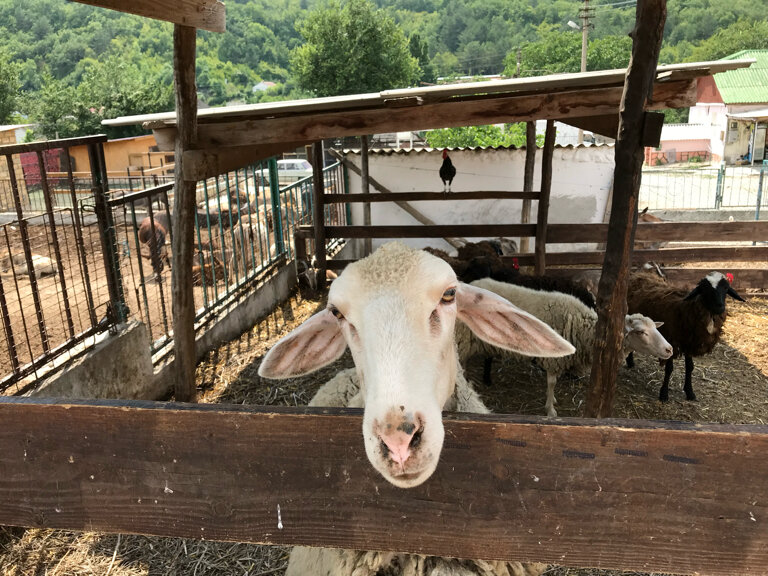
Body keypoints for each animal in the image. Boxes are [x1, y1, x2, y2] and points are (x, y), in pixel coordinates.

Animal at [456, 278, 672, 416]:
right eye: (641, 332)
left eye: (655, 327)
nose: (669, 349)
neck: (583, 328)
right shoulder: (554, 359)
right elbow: (552, 383)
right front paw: (550, 409)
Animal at [628, 270, 748, 400]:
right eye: (705, 289)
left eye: (726, 288)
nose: (719, 307)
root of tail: (638, 275)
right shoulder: (672, 341)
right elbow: (669, 368)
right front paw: (664, 393)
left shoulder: (689, 342)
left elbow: (690, 367)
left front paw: (690, 392)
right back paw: (629, 362)